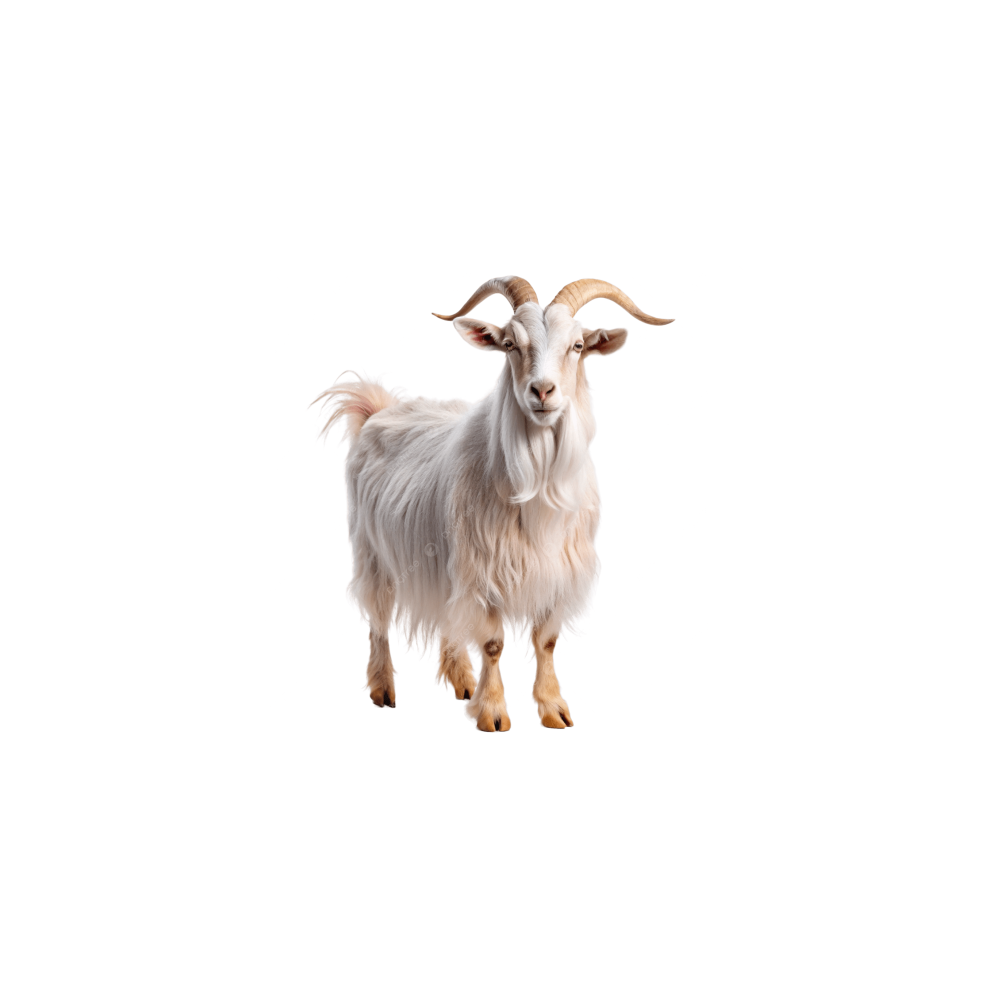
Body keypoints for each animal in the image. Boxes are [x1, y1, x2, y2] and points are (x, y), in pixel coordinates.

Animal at [316, 277, 672, 731]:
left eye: (577, 345)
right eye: (509, 344)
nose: (542, 390)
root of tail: (378, 411)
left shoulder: (555, 574)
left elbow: (546, 640)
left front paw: (553, 709)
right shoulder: (482, 572)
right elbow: (492, 644)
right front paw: (493, 713)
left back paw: (462, 681)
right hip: (372, 551)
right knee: (377, 618)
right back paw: (384, 689)